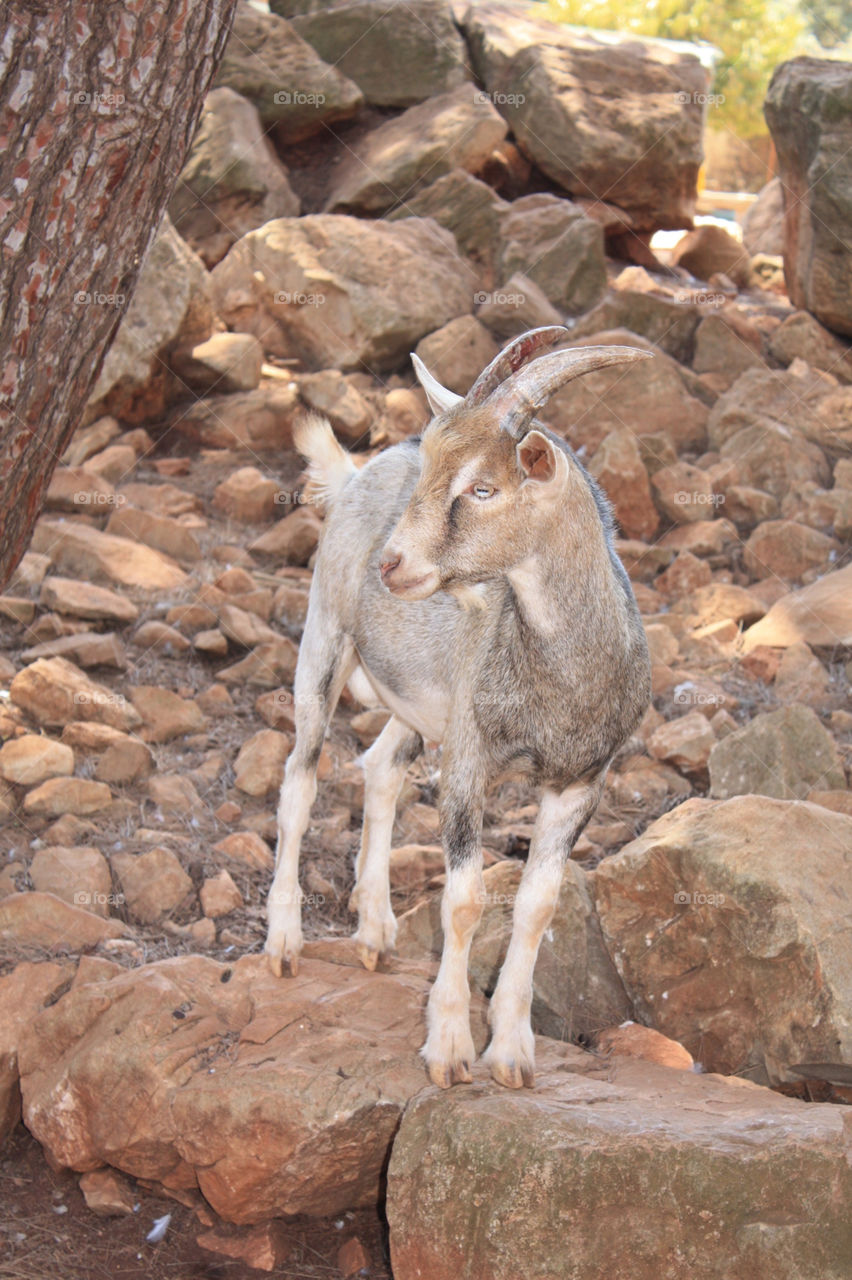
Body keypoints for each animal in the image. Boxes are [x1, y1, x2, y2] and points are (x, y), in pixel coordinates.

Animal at [266, 330, 649, 1090]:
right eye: (435, 467)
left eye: (482, 487)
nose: (392, 564)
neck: (562, 680)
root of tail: (354, 475)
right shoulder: (472, 760)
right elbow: (465, 900)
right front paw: (448, 1049)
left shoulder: (579, 781)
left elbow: (536, 905)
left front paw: (513, 1053)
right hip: (323, 640)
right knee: (300, 781)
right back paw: (284, 942)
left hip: (420, 708)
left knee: (381, 766)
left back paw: (376, 933)